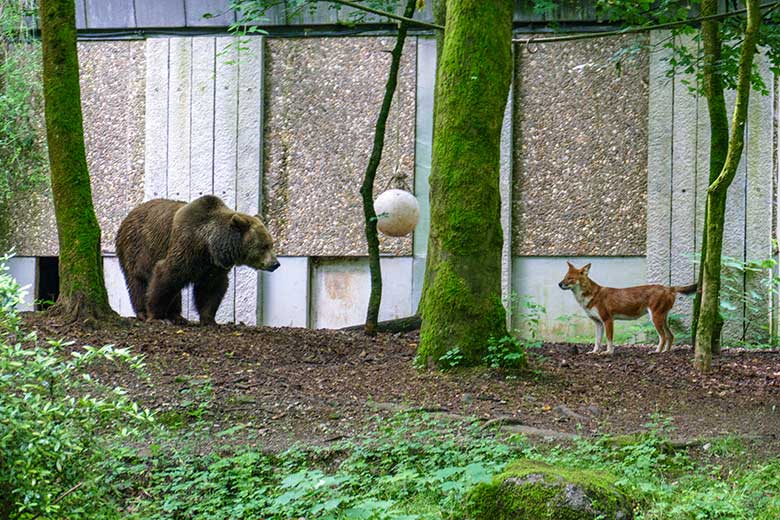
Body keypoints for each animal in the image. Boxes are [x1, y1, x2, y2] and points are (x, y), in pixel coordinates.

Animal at [116, 195, 280, 324]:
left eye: (271, 244)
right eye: (263, 246)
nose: (275, 263)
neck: (209, 245)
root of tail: (129, 214)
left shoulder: (213, 267)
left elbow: (211, 289)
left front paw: (209, 319)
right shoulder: (185, 247)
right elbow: (165, 276)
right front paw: (157, 317)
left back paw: (177, 317)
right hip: (136, 249)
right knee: (137, 282)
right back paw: (143, 313)